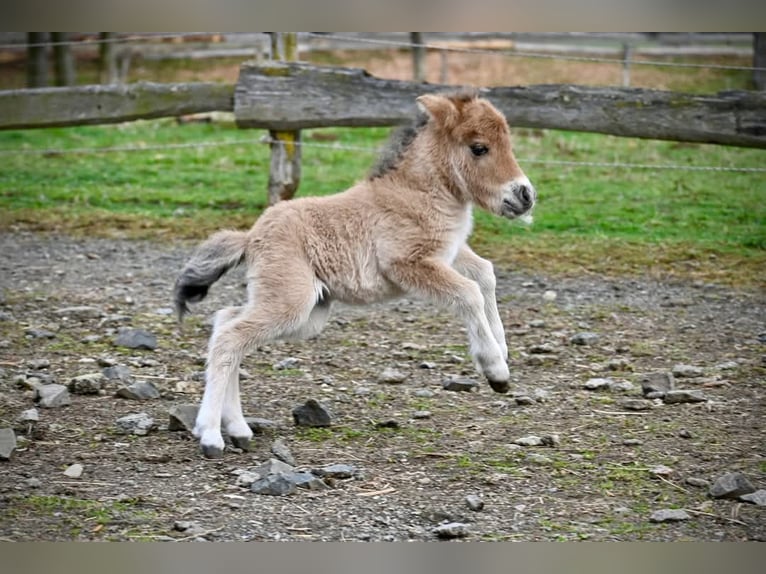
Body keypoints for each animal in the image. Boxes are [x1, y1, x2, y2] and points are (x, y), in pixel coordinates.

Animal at [178, 90, 540, 460]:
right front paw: (496, 371)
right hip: (291, 301)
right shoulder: (409, 263)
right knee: (230, 338)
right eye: (479, 147)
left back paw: (237, 429)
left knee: (226, 320)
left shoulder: (449, 253)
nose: (525, 195)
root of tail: (251, 237)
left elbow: (485, 274)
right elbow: (469, 292)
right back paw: (211, 436)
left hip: (302, 312)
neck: (417, 192)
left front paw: (502, 347)